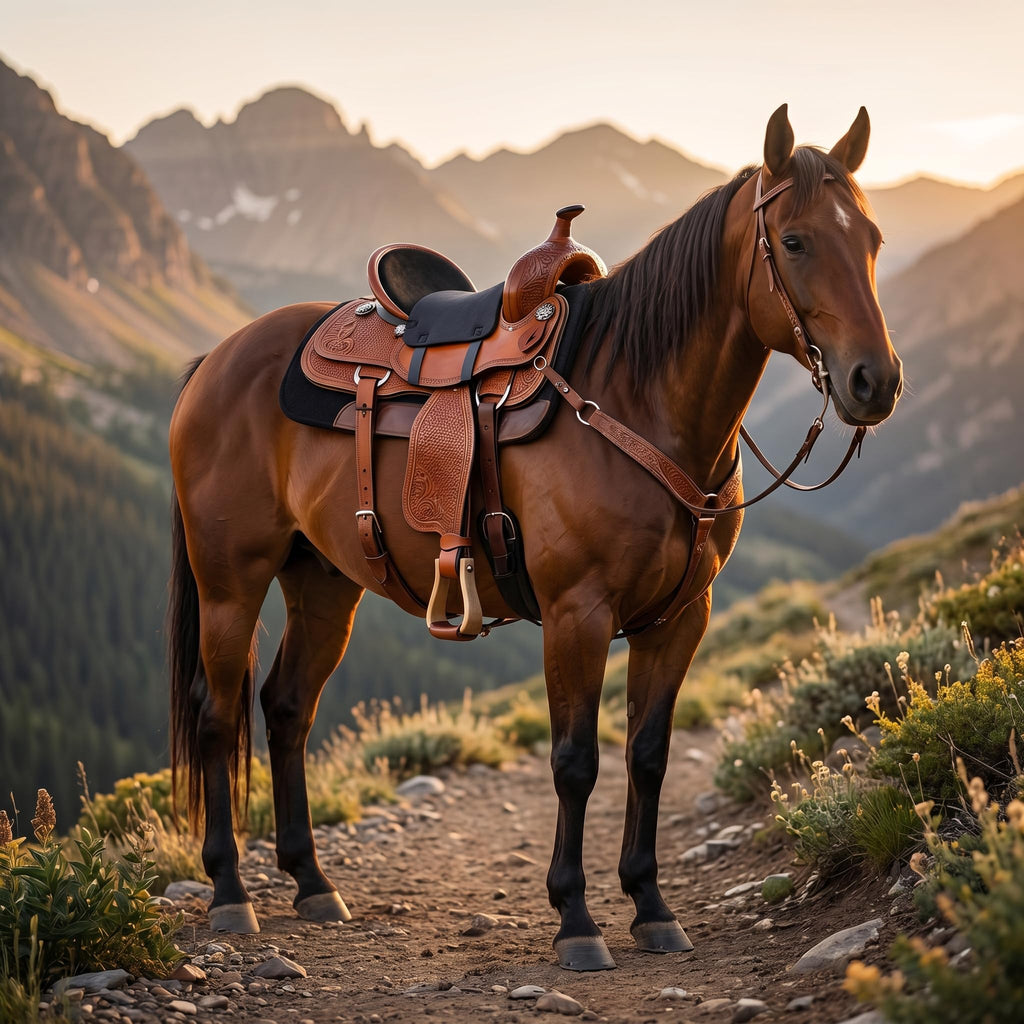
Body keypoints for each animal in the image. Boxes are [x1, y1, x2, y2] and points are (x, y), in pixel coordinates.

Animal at [167, 104, 902, 971]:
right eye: (794, 241)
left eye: (874, 239)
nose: (875, 382)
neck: (637, 396)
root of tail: (218, 357)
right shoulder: (577, 615)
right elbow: (576, 762)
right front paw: (576, 919)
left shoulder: (680, 619)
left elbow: (647, 754)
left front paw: (651, 907)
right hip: (230, 582)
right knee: (218, 716)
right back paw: (229, 891)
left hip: (323, 583)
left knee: (286, 708)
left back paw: (312, 883)